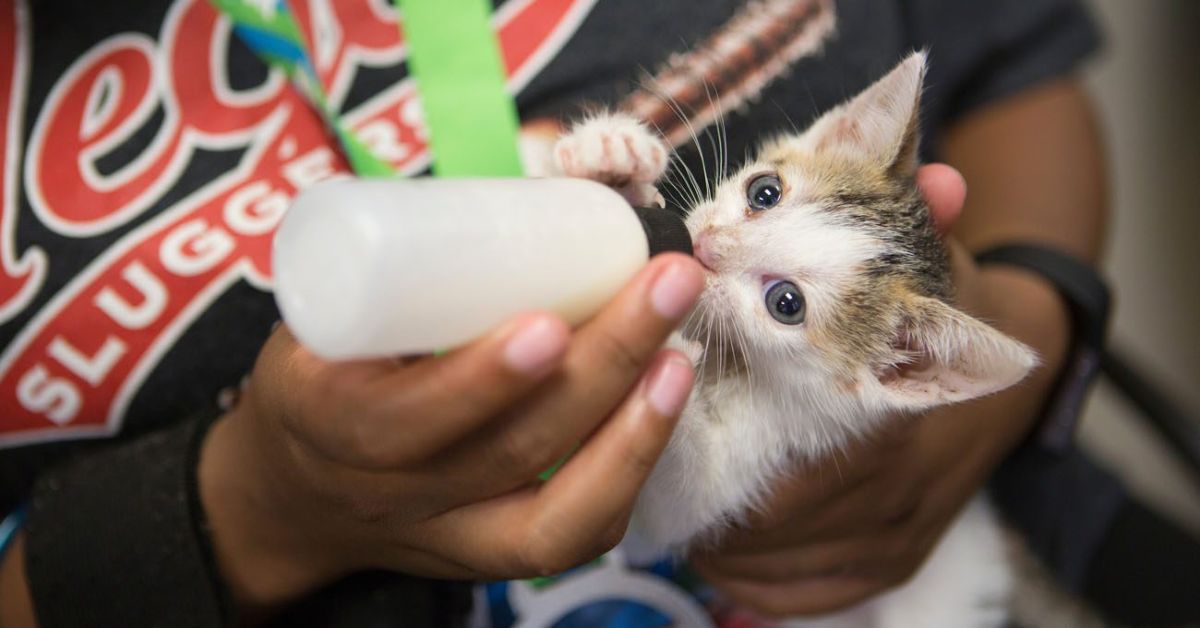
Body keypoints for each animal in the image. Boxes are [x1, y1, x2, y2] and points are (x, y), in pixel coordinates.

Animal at [552, 54, 1041, 628]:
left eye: (786, 303)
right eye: (764, 192)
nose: (705, 247)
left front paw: (663, 356)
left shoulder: (780, 443)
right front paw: (608, 161)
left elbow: (671, 510)